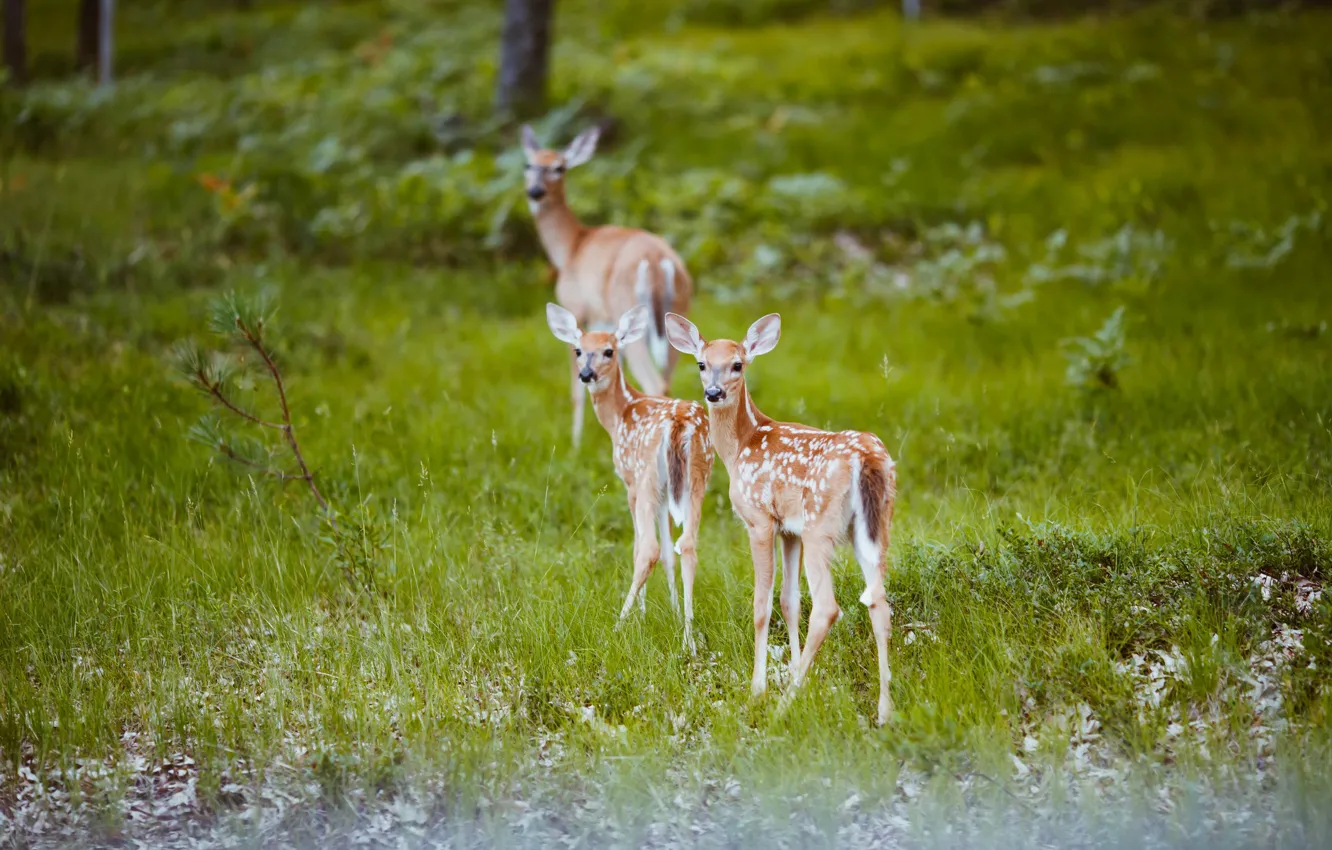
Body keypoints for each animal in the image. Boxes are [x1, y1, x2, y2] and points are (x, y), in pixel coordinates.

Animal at [519, 125, 692, 452]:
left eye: (559, 167)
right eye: (528, 165)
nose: (535, 191)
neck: (572, 247)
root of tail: (657, 261)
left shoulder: (576, 309)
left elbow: (576, 387)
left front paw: (575, 444)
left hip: (630, 308)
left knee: (654, 382)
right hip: (677, 315)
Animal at [543, 301, 713, 652]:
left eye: (609, 351)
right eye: (578, 349)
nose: (586, 374)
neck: (619, 414)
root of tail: (677, 423)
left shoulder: (631, 482)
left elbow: (640, 548)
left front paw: (642, 613)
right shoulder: (665, 492)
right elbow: (669, 554)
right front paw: (673, 611)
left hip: (646, 474)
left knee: (648, 549)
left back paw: (617, 626)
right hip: (697, 477)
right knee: (687, 546)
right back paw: (689, 640)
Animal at [663, 313, 900, 724]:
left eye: (738, 364)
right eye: (702, 363)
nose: (713, 393)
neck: (741, 445)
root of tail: (867, 459)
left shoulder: (760, 519)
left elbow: (763, 605)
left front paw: (758, 688)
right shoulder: (790, 529)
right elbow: (790, 601)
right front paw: (793, 670)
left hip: (821, 527)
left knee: (828, 607)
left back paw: (784, 706)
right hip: (873, 527)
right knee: (878, 603)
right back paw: (883, 712)